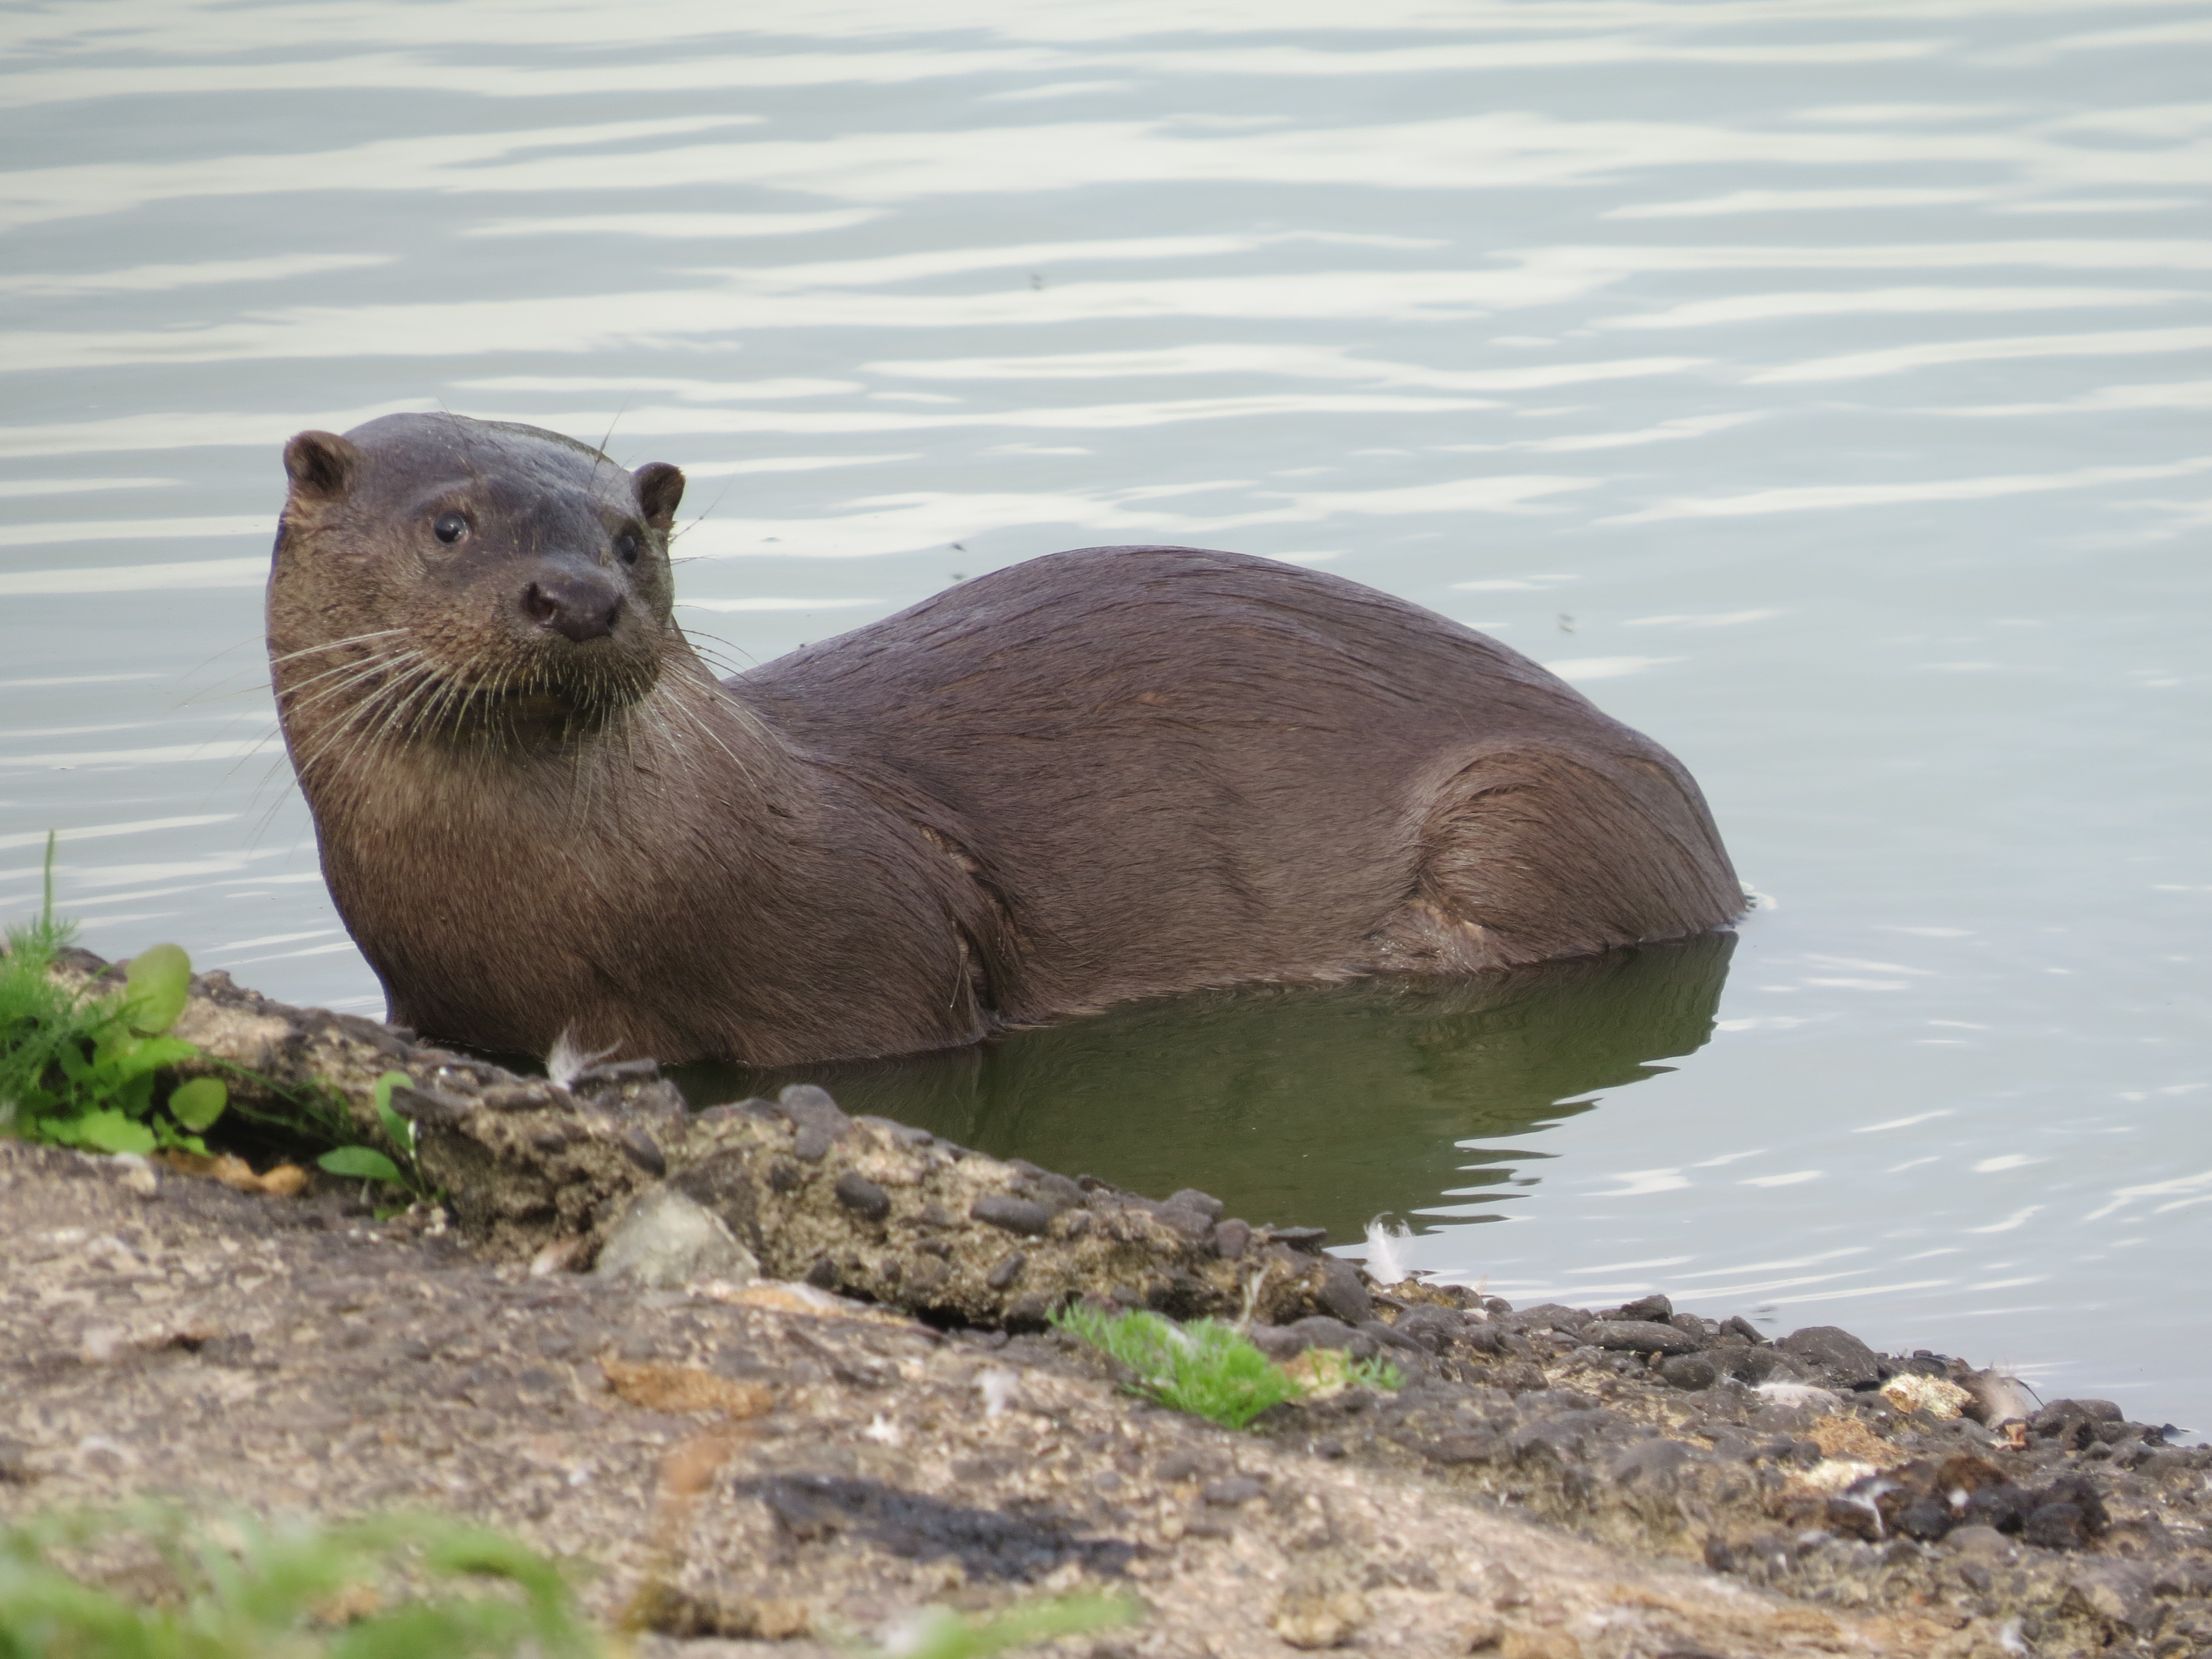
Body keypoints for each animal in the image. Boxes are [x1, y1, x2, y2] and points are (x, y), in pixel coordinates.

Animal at [263, 409, 1743, 1071]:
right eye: (449, 524)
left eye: (630, 538)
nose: (576, 595)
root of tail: (1710, 842)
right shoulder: (424, 993)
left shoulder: (869, 968)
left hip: (1530, 806)